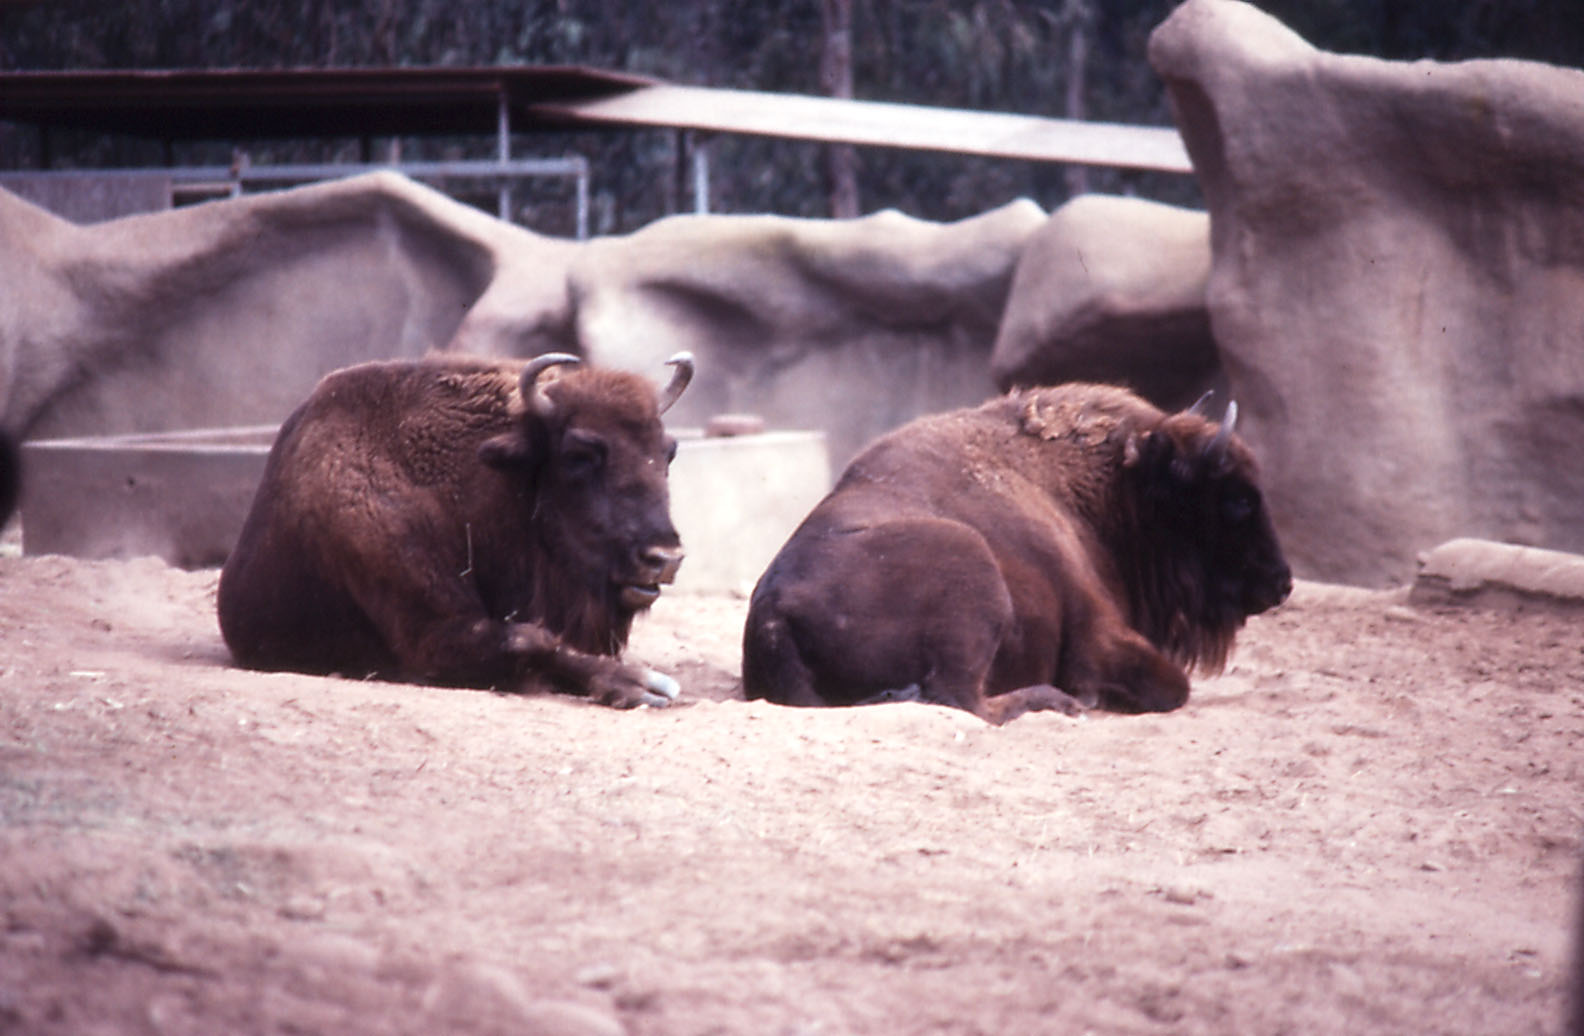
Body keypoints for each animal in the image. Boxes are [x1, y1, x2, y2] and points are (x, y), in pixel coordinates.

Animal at [218, 352, 693, 708]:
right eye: (580, 453)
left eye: (668, 452)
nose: (664, 558)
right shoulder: (431, 636)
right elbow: (531, 639)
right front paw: (642, 684)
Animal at [742, 382, 1292, 725]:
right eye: (1238, 501)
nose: (1281, 582)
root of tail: (772, 610)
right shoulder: (1098, 634)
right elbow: (1172, 686)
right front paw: (1088, 696)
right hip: (971, 569)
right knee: (962, 699)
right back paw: (1055, 701)